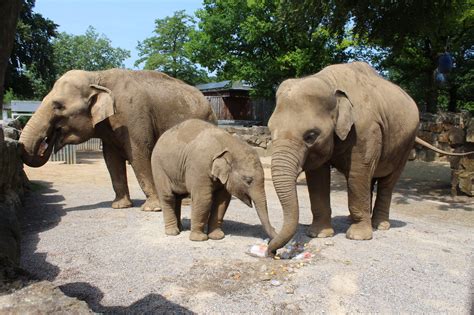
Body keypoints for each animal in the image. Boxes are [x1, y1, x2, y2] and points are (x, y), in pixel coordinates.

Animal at [19, 69, 217, 212]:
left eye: (58, 106)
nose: (48, 139)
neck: (97, 76)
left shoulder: (133, 116)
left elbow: (139, 155)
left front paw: (152, 209)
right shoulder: (109, 128)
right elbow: (111, 159)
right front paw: (119, 206)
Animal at [268, 61, 472, 254]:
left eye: (311, 135)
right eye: (270, 131)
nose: (273, 251)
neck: (330, 82)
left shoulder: (366, 129)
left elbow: (358, 173)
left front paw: (358, 237)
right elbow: (318, 178)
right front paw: (319, 234)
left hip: (406, 143)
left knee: (386, 182)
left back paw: (379, 225)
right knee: (370, 178)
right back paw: (353, 219)